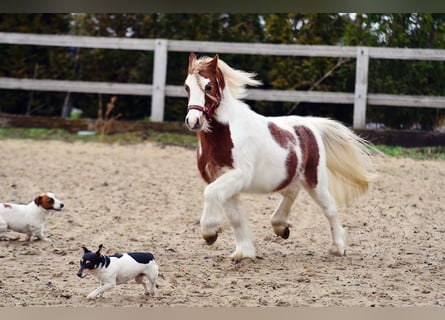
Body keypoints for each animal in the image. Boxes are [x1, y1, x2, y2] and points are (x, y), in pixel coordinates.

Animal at [184, 52, 374, 262]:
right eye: (187, 86)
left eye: (208, 86)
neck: (226, 134)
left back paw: (337, 247)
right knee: (291, 192)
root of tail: (310, 125)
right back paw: (280, 226)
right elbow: (235, 217)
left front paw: (210, 233)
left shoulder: (239, 176)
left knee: (329, 208)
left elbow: (209, 193)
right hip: (289, 177)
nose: (193, 121)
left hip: (315, 180)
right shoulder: (222, 180)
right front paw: (244, 252)